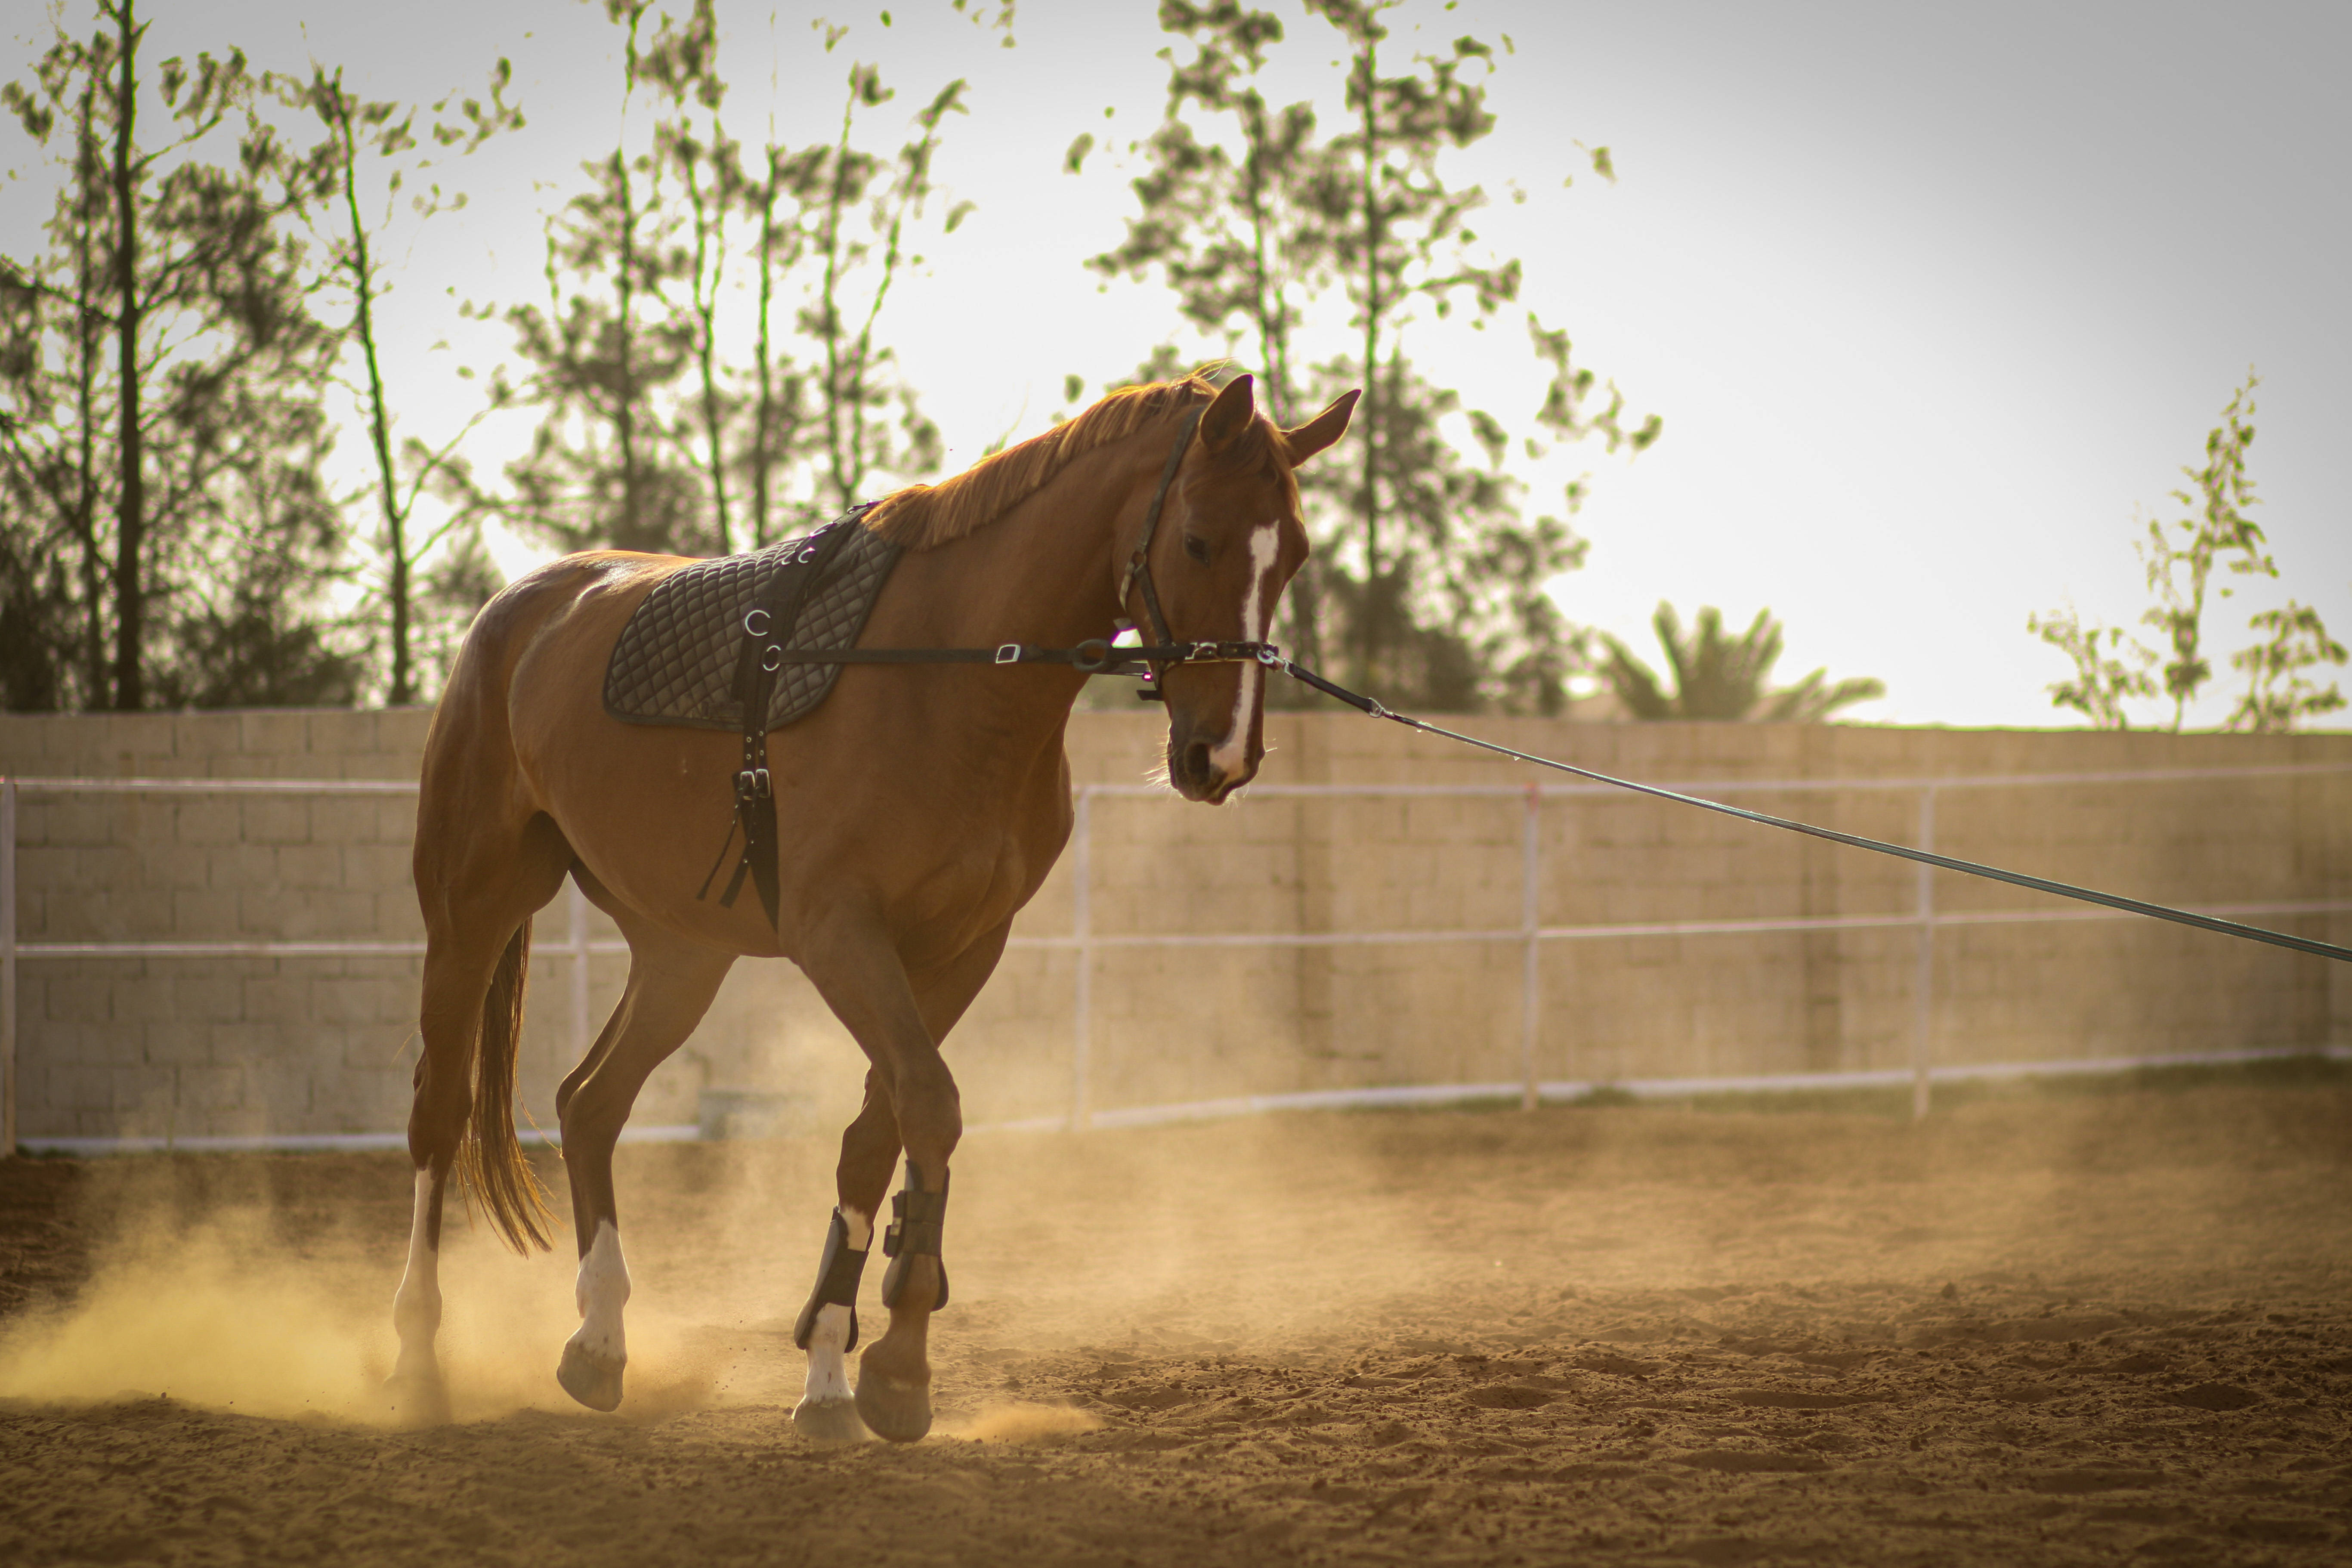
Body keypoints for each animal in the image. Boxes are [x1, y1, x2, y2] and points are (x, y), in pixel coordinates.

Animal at [386, 371, 1358, 1440]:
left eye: (1292, 553)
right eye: (1196, 540)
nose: (1219, 755)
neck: (946, 676)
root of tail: (523, 608)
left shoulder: (961, 950)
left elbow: (871, 1139)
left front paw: (829, 1369)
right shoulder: (839, 936)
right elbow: (927, 1106)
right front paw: (897, 1362)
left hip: (682, 955)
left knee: (589, 1104)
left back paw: (599, 1343)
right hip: (471, 909)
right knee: (438, 1113)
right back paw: (418, 1358)